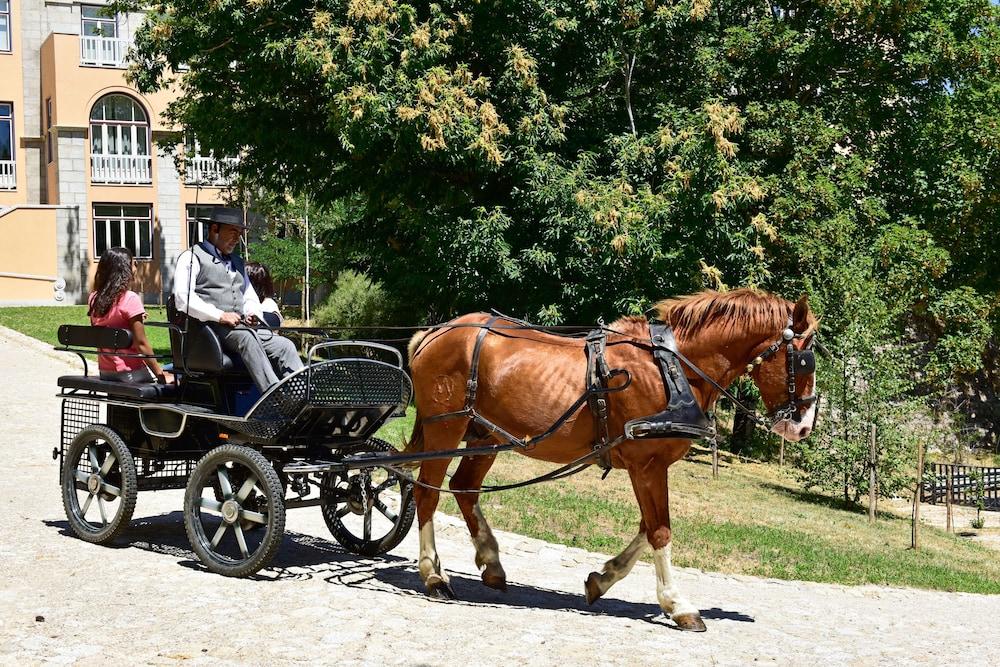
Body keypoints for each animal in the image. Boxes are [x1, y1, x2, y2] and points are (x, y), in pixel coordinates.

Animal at [402, 288, 816, 632]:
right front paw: (678, 605)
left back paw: (491, 564)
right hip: (446, 429)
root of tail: (434, 332)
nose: (804, 427)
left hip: (485, 435)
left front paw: (602, 579)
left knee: (464, 488)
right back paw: (434, 575)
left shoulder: (648, 466)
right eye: (806, 361)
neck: (673, 369)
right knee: (428, 494)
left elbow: (647, 528)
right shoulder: (647, 464)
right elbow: (660, 530)